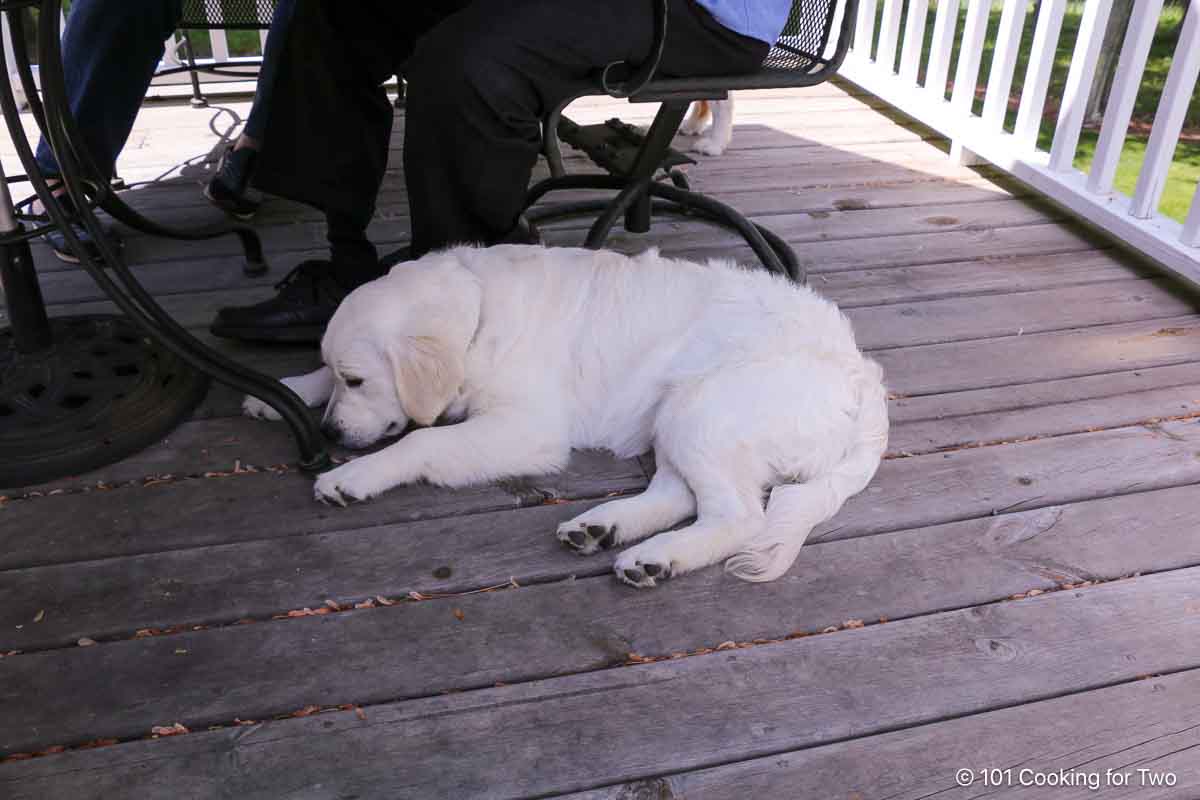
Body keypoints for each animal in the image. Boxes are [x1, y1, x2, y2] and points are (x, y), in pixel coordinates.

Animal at [243, 247, 888, 592]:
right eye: (342, 374)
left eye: (359, 381)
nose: (329, 433)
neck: (481, 315)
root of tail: (863, 373)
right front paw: (283, 390)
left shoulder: (528, 430)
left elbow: (418, 443)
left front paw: (350, 476)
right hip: (675, 410)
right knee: (681, 494)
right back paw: (608, 529)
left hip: (702, 406)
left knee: (740, 515)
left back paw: (656, 556)